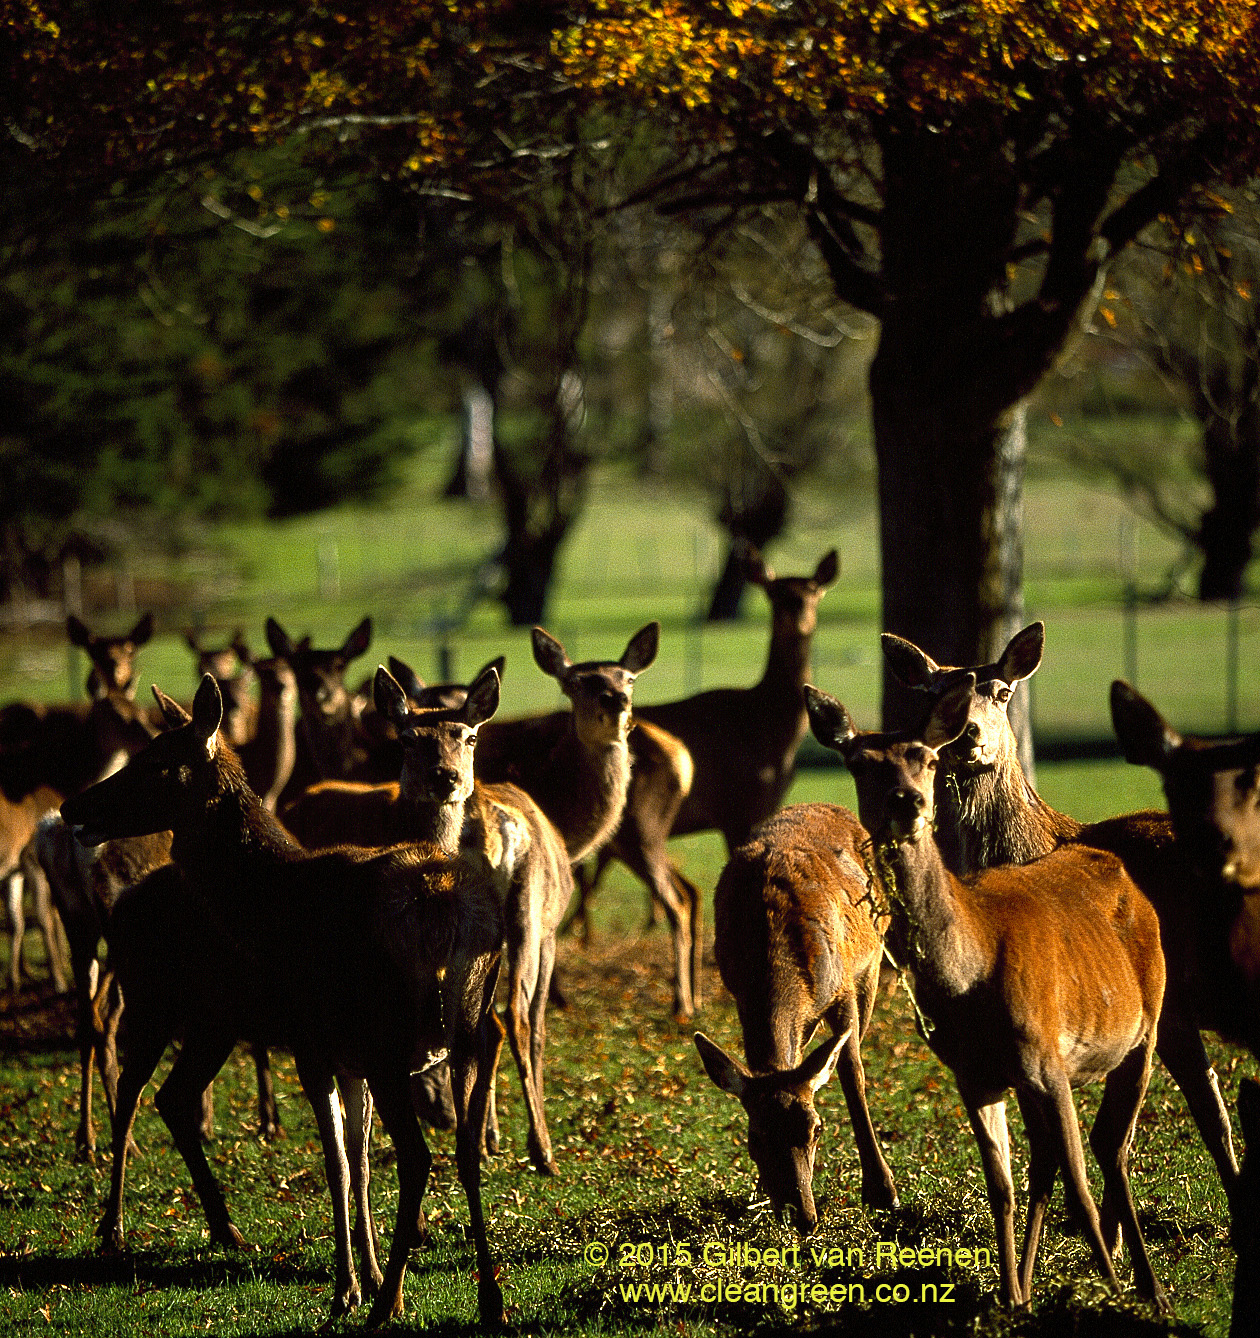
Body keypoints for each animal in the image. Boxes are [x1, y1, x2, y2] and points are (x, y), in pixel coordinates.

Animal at [62, 679, 508, 1327]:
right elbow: (357, 1161)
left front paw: (353, 1289)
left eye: (155, 761)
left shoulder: (313, 1039)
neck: (266, 900)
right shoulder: (344, 1055)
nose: (74, 807)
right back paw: (489, 1301)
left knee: (419, 1157)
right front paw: (371, 1277)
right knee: (466, 1150)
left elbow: (339, 1163)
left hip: (248, 1016)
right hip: (464, 1030)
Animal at [695, 797, 904, 1225]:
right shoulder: (739, 994)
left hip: (873, 960)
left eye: (816, 1130)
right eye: (755, 1139)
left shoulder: (842, 986)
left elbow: (852, 1073)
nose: (802, 1215)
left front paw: (882, 1191)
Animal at [807, 674, 1171, 1311]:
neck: (968, 975)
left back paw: (1149, 1289)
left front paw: (1109, 1291)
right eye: (858, 762)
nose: (908, 802)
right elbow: (1000, 1186)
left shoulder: (1049, 1057)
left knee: (1112, 1149)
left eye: (927, 758)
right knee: (1050, 1161)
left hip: (1145, 1027)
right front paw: (1011, 1297)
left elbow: (1078, 1188)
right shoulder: (974, 1074)